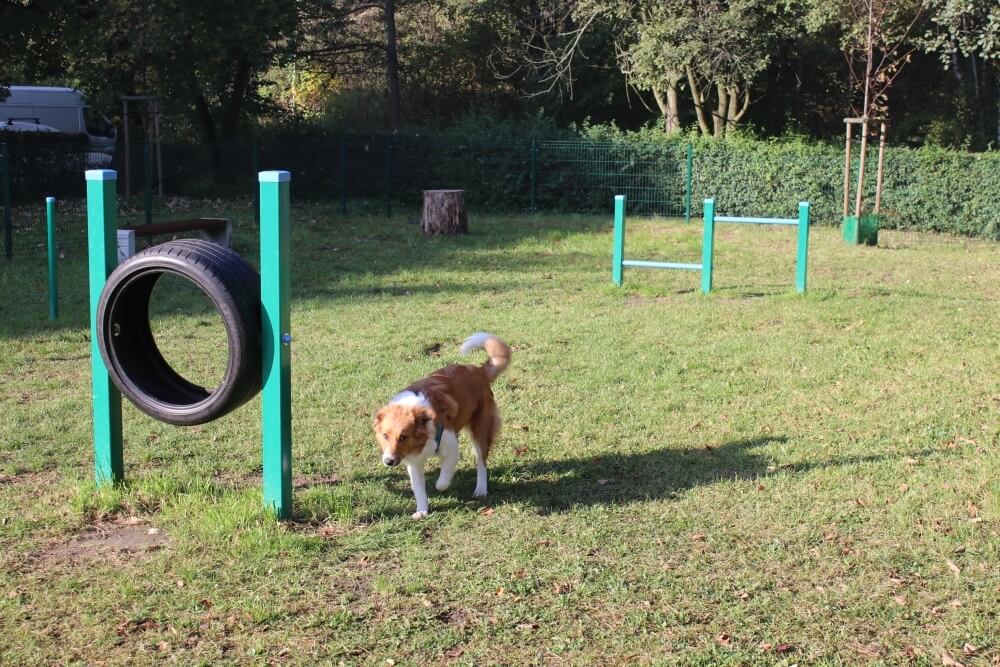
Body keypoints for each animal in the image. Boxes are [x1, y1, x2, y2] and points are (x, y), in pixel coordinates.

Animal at [376, 332, 516, 516]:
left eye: (403, 437)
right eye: (385, 435)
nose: (388, 461)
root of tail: (477, 371)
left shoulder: (451, 450)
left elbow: (442, 480)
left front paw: (442, 486)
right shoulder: (414, 463)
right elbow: (419, 489)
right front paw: (422, 511)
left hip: (480, 431)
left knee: (481, 462)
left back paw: (480, 489)